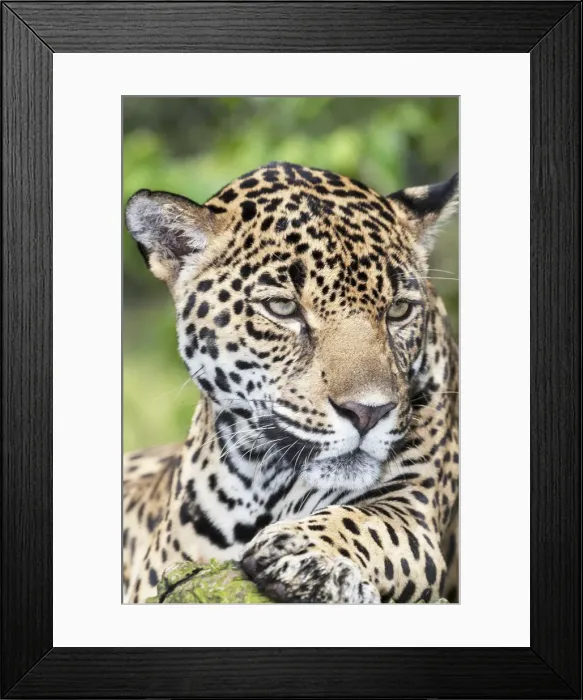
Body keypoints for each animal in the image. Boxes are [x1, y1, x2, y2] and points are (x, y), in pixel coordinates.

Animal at [123, 161, 459, 604]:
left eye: (399, 310)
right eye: (282, 308)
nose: (368, 413)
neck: (265, 487)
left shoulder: (412, 508)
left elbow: (366, 523)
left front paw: (301, 552)